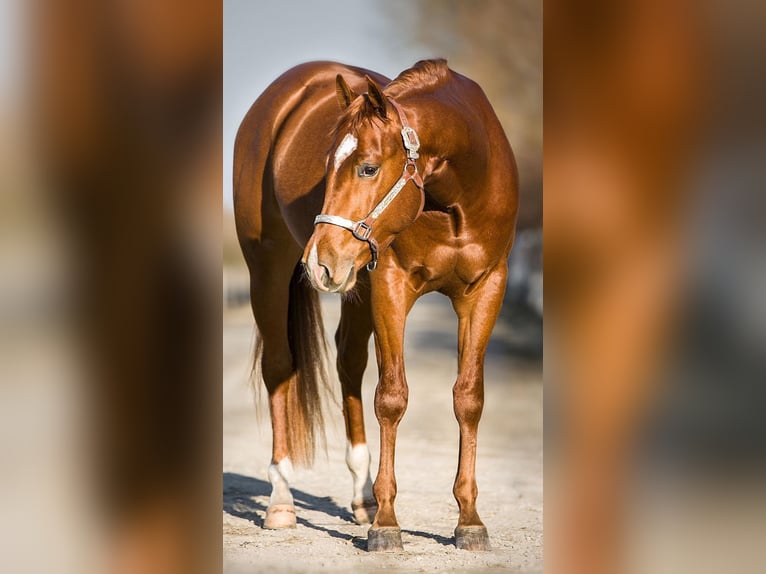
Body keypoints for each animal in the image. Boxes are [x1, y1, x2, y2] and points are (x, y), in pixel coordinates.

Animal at [233, 59, 518, 552]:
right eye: (326, 165)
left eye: (367, 168)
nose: (318, 261)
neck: (457, 199)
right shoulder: (391, 287)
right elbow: (391, 397)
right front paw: (387, 524)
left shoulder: (485, 290)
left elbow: (468, 399)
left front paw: (468, 520)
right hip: (267, 268)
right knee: (279, 368)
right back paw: (282, 501)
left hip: (353, 286)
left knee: (348, 361)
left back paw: (361, 497)